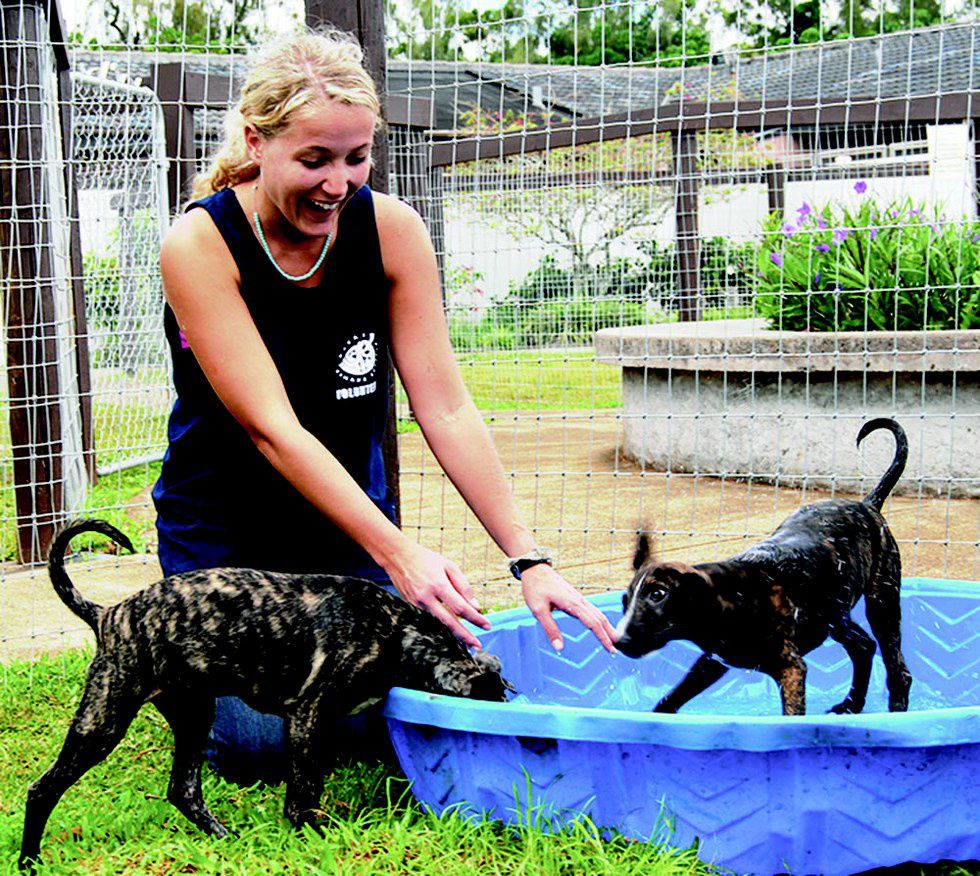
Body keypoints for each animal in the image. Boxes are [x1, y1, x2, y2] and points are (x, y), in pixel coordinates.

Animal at [20, 519, 512, 871]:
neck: (394, 630)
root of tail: (108, 614)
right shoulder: (306, 715)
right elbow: (304, 788)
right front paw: (312, 838)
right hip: (103, 720)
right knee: (42, 789)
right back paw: (29, 861)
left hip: (194, 715)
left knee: (184, 790)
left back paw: (226, 839)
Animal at [615, 418, 912, 717]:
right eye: (625, 601)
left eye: (658, 595)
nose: (619, 640)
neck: (728, 597)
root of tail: (868, 504)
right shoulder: (713, 661)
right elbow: (672, 698)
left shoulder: (791, 668)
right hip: (834, 615)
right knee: (863, 646)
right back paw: (851, 705)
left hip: (882, 601)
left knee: (897, 668)